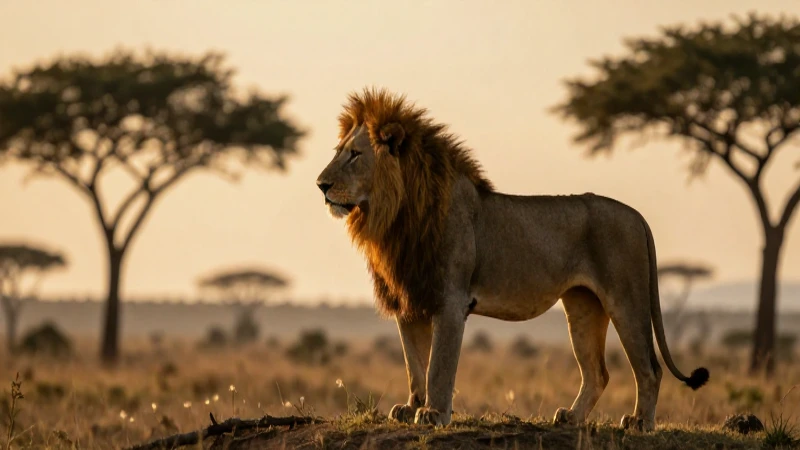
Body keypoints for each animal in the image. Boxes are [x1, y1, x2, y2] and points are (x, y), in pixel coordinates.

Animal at [315, 88, 709, 431]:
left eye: (355, 154)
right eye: (339, 151)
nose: (320, 185)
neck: (396, 217)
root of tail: (636, 215)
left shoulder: (450, 300)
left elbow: (438, 365)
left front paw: (434, 413)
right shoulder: (409, 299)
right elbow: (415, 364)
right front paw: (411, 407)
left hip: (626, 298)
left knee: (650, 368)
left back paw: (640, 422)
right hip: (583, 305)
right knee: (598, 373)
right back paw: (571, 417)